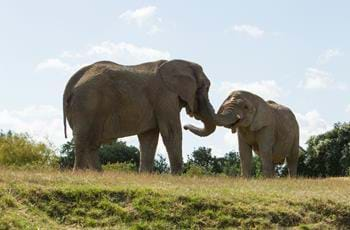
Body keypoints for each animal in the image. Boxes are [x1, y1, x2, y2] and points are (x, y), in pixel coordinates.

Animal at [63, 60, 216, 173]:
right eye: (206, 88)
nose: (187, 126)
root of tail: (73, 82)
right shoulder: (165, 97)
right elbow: (171, 132)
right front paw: (177, 176)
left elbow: (149, 137)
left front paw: (145, 175)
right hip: (87, 103)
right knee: (83, 138)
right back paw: (79, 173)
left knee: (92, 142)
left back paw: (98, 174)